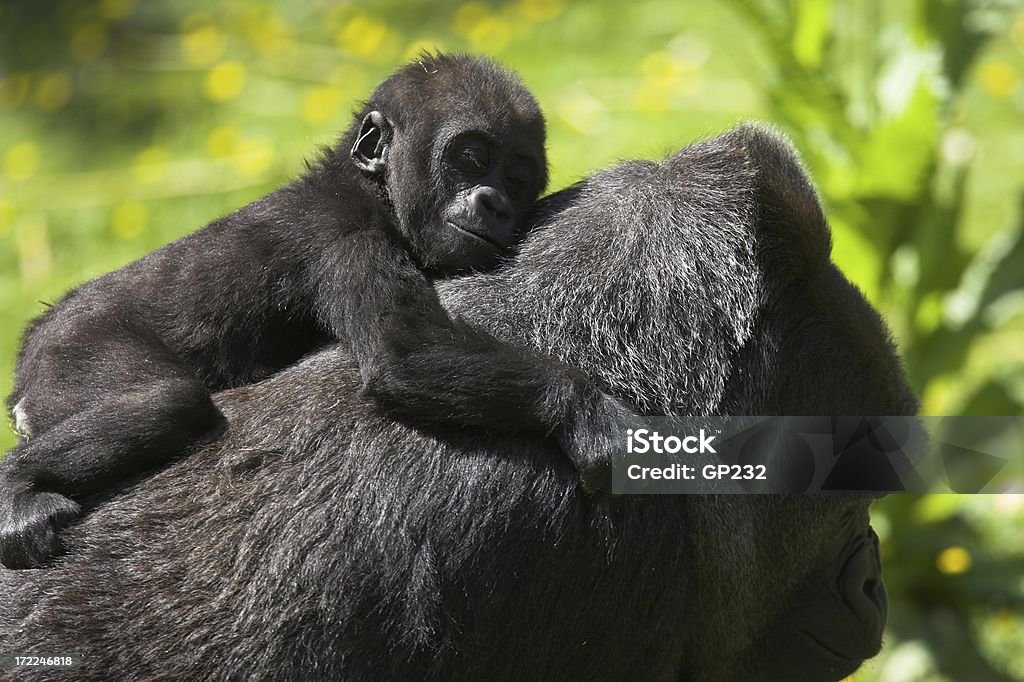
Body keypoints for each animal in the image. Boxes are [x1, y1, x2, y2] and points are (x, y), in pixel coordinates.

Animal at [0, 53, 626, 565]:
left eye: (517, 179)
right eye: (471, 158)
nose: (495, 203)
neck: (369, 186)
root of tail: (32, 349)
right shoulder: (345, 238)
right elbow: (405, 354)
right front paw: (585, 409)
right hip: (73, 349)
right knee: (168, 401)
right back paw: (16, 486)